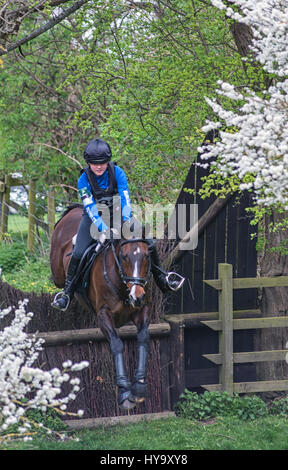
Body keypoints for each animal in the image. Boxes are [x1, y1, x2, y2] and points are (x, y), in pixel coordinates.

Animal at [49, 204, 153, 410]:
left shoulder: (141, 311)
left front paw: (139, 386)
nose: (137, 296)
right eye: (124, 257)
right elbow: (116, 344)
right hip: (58, 273)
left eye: (146, 256)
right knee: (62, 276)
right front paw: (124, 392)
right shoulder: (104, 315)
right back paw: (63, 296)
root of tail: (73, 211)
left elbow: (143, 338)